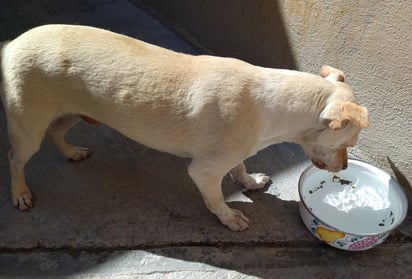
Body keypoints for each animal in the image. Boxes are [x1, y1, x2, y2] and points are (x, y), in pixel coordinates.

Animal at [0, 24, 366, 232]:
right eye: (348, 144)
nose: (345, 167)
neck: (274, 102)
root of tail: (11, 43)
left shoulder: (236, 150)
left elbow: (240, 166)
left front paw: (249, 182)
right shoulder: (204, 171)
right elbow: (215, 198)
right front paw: (229, 217)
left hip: (73, 111)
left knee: (55, 132)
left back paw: (72, 152)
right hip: (28, 127)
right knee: (16, 158)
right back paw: (19, 193)